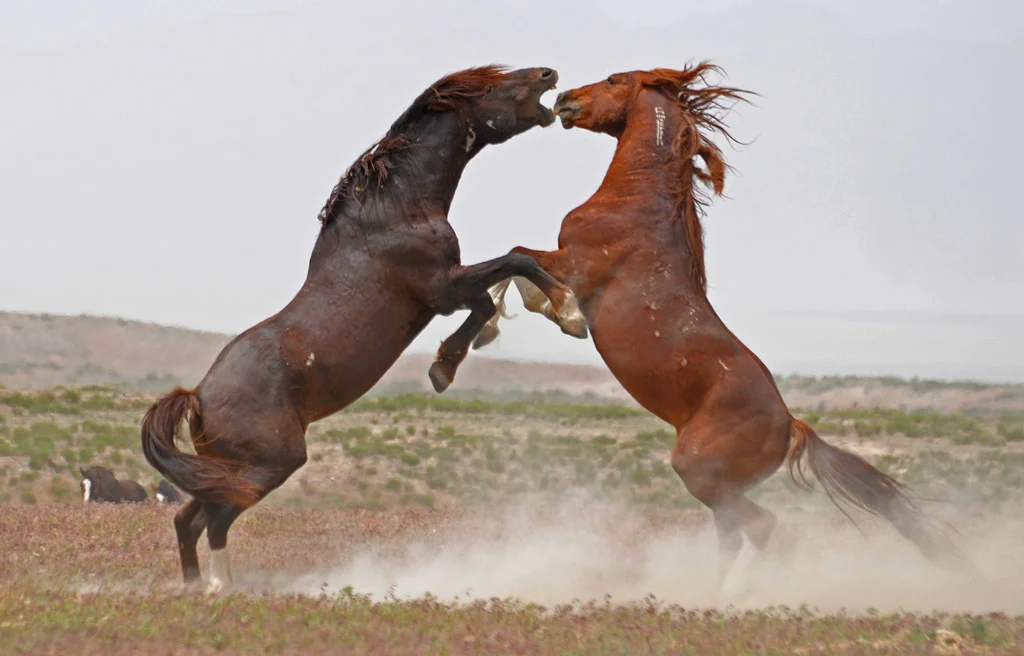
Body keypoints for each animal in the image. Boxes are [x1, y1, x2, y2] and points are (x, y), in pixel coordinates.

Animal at [139, 65, 585, 589]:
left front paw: (445, 366)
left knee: (188, 519)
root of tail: (198, 396)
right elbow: (516, 261)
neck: (396, 212)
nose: (547, 74)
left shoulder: (446, 294)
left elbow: (486, 304)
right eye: (492, 87)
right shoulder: (442, 288)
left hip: (224, 467)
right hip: (270, 463)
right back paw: (220, 587)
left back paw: (194, 586)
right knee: (216, 521)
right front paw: (569, 312)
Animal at [436, 61, 962, 581]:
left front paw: (550, 320)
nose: (565, 98)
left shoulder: (573, 264)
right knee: (735, 535)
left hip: (698, 470)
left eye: (613, 80)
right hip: (718, 487)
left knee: (765, 528)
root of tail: (791, 426)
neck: (634, 201)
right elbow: (518, 270)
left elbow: (522, 263)